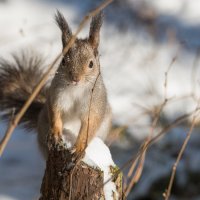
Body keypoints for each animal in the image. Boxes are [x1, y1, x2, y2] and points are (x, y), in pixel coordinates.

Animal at [0, 10, 111, 158]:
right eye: (63, 61)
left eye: (91, 64)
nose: (75, 78)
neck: (76, 89)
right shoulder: (56, 96)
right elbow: (55, 112)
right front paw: (55, 133)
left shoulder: (94, 106)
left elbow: (89, 126)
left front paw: (79, 148)